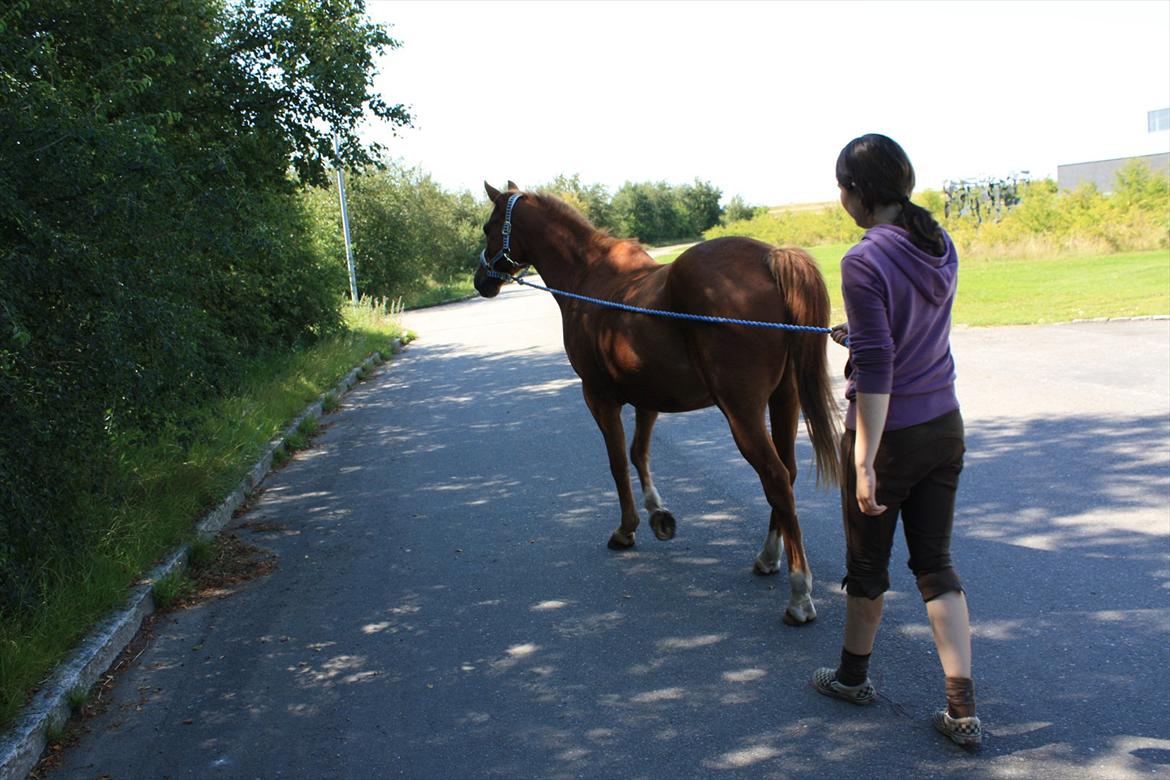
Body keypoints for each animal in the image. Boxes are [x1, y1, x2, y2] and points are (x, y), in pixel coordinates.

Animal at [475, 180, 842, 626]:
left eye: (488, 226)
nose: (481, 280)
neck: (589, 280)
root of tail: (771, 257)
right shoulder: (648, 397)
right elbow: (639, 453)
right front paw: (658, 516)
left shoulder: (599, 397)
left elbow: (618, 462)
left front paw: (627, 528)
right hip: (784, 400)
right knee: (786, 473)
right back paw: (768, 557)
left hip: (743, 411)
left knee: (775, 478)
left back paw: (799, 594)